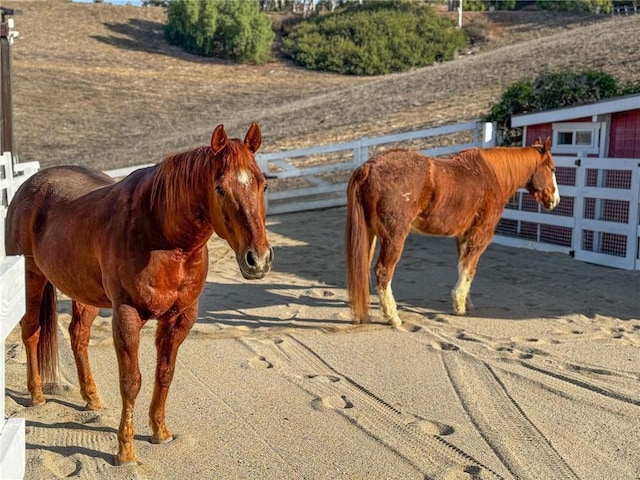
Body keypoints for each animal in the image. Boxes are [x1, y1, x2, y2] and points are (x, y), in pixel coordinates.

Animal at [5, 123, 276, 464]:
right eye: (219, 188)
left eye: (262, 184)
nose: (258, 259)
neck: (161, 234)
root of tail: (27, 188)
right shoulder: (127, 315)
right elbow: (131, 382)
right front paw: (125, 450)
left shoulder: (180, 317)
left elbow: (165, 373)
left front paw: (160, 432)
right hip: (31, 279)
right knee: (31, 331)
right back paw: (37, 394)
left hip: (84, 292)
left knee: (78, 335)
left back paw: (91, 398)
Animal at [344, 138, 560, 326]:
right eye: (552, 168)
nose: (555, 200)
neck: (490, 175)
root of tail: (368, 167)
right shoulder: (480, 234)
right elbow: (470, 268)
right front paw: (459, 305)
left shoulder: (463, 236)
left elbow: (463, 266)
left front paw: (466, 301)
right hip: (393, 238)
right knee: (383, 272)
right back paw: (393, 317)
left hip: (369, 235)